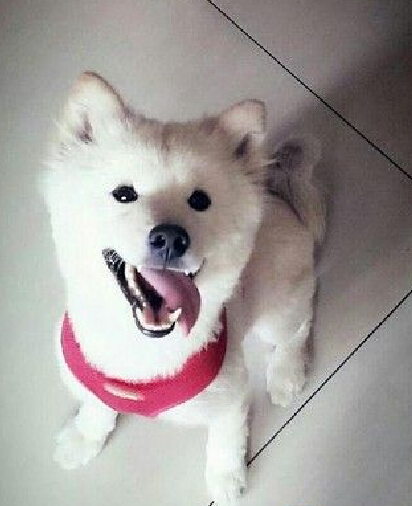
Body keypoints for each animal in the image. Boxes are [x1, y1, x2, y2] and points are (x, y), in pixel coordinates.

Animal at [41, 72, 325, 505]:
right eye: (123, 194)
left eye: (200, 201)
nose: (171, 238)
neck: (140, 354)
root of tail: (278, 198)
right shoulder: (90, 381)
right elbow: (96, 407)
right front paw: (84, 439)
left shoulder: (230, 398)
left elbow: (225, 441)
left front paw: (226, 479)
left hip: (278, 309)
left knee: (299, 326)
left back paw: (285, 374)